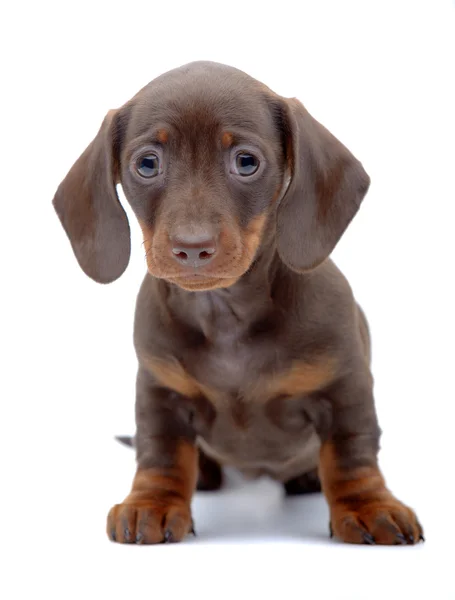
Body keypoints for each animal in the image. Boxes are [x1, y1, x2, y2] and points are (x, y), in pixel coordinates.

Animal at [52, 59, 424, 544]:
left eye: (246, 161)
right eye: (147, 163)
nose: (192, 247)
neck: (225, 312)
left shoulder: (345, 388)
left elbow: (352, 453)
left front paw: (368, 506)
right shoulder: (160, 392)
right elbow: (161, 453)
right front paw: (152, 503)